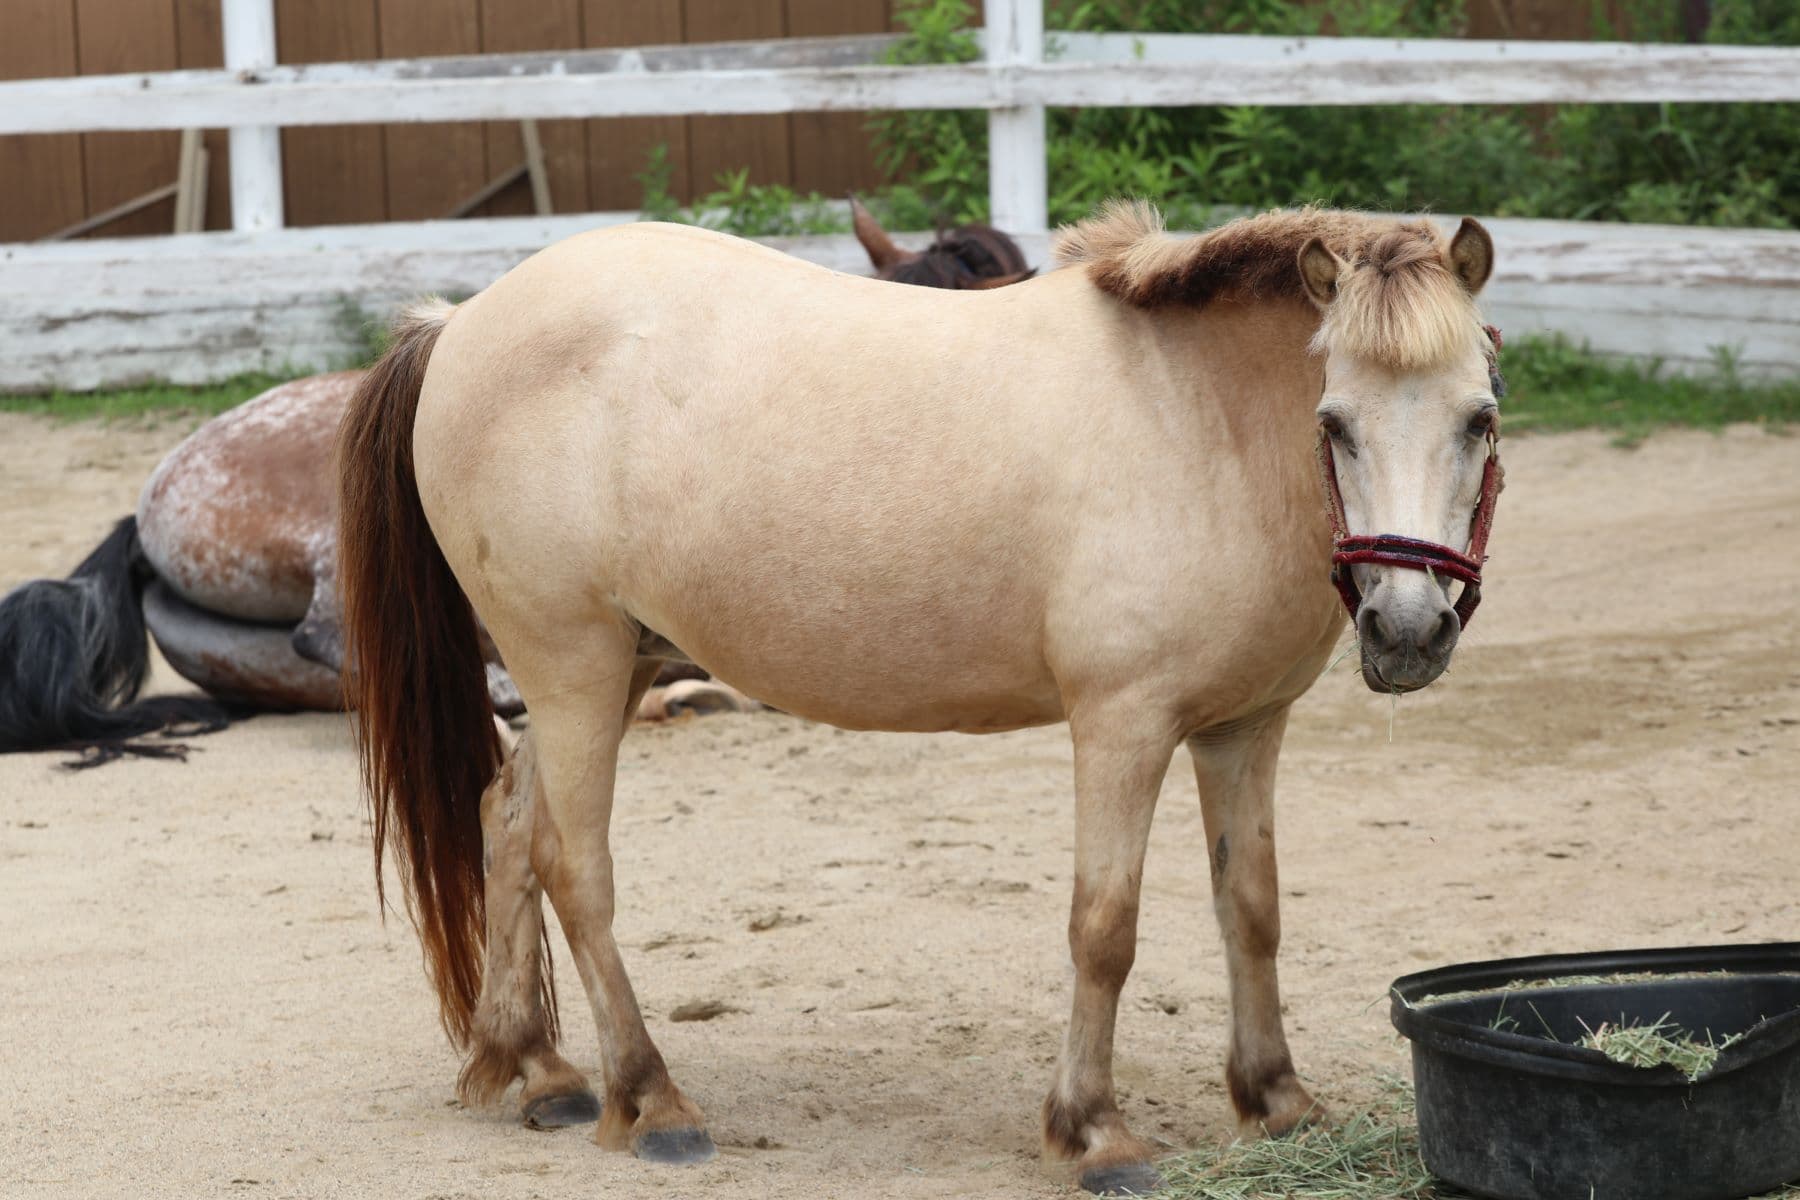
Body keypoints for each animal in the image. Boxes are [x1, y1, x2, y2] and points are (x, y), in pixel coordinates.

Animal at [334, 201, 1504, 1194]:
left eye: (1479, 420)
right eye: (1336, 420)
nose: (1407, 629)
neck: (1202, 420)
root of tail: (462, 321)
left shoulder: (1243, 728)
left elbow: (1250, 908)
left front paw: (1277, 1101)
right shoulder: (1121, 727)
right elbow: (1105, 927)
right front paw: (1093, 1132)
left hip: (611, 666)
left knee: (507, 823)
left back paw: (539, 1072)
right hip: (569, 664)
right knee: (574, 866)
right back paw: (650, 1100)